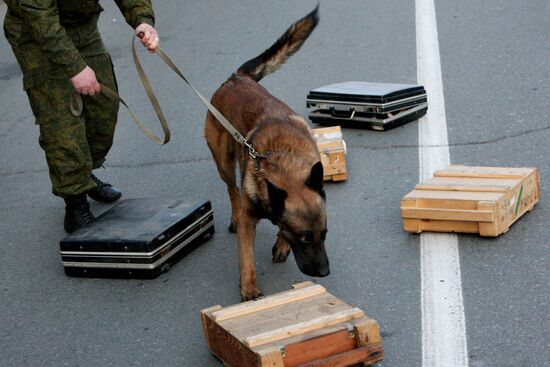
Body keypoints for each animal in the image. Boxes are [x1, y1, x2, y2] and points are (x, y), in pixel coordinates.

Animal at [206, 4, 328, 300]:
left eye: (324, 234)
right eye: (305, 237)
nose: (324, 273)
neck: (282, 160)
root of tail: (237, 77)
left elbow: (281, 229)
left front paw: (281, 244)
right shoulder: (250, 219)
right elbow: (246, 256)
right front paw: (249, 289)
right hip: (223, 162)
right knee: (232, 190)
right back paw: (233, 214)